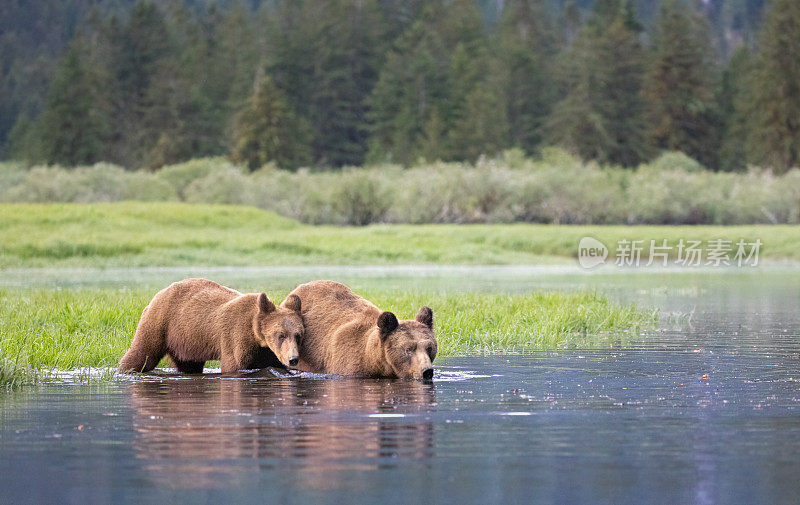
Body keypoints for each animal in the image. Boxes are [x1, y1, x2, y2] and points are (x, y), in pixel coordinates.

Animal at [118, 278, 304, 372]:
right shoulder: (235, 337)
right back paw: (125, 369)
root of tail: (158, 295)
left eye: (298, 335)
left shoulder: (266, 351)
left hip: (186, 341)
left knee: (189, 365)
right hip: (160, 323)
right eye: (280, 335)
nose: (293, 359)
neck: (255, 336)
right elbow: (233, 366)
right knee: (142, 353)